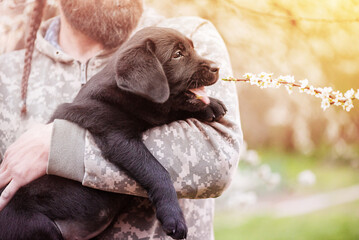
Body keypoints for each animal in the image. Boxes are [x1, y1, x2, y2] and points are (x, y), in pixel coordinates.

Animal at [0, 26, 228, 240]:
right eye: (177, 54)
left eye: (192, 47)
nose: (217, 67)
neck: (128, 94)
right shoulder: (116, 136)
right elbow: (156, 171)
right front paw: (173, 216)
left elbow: (171, 110)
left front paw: (211, 105)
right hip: (34, 222)